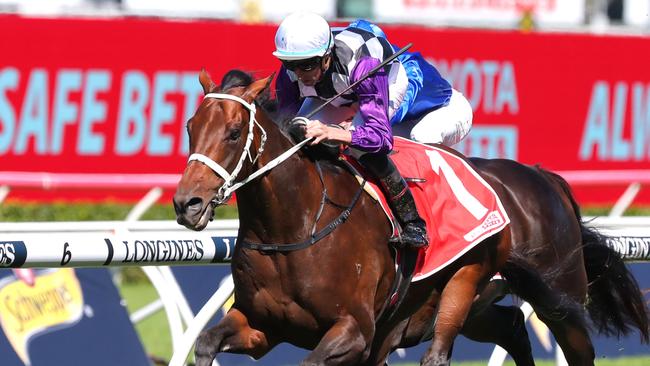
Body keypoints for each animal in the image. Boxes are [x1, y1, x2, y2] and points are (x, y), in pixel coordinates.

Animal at [170, 72, 644, 366]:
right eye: (191, 127)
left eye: (234, 133)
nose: (186, 203)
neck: (296, 226)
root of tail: (543, 176)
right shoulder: (263, 326)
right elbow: (206, 341)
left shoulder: (355, 331)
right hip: (476, 303)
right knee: (511, 327)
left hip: (546, 297)